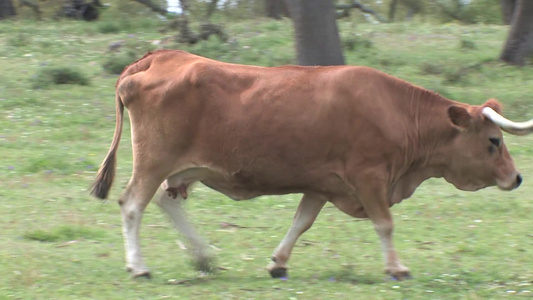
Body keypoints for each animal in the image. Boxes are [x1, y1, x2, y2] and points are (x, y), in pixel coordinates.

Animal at [91, 49, 528, 278]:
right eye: (494, 141)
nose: (517, 177)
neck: (396, 112)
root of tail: (160, 56)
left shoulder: (321, 185)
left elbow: (300, 223)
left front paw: (279, 263)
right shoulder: (369, 177)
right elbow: (384, 223)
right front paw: (397, 267)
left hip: (182, 169)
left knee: (167, 202)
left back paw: (203, 255)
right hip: (154, 162)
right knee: (133, 205)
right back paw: (139, 265)